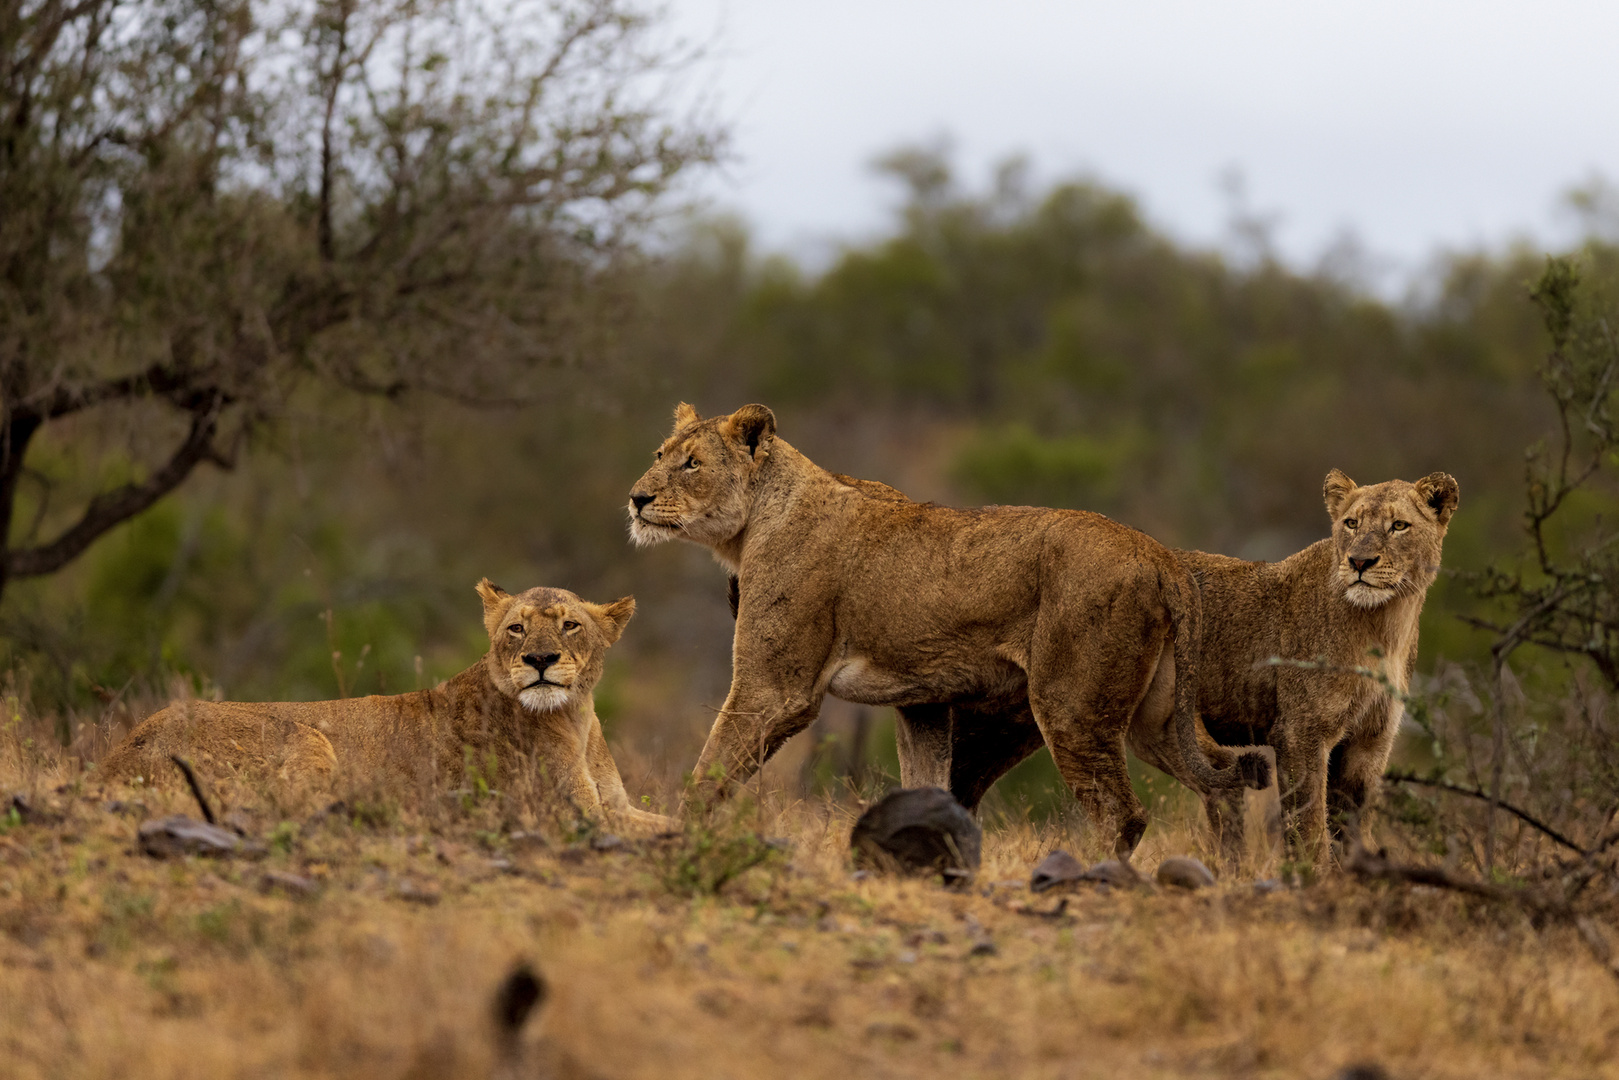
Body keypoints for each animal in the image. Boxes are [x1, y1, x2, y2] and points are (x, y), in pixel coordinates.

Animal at [97, 582, 673, 835]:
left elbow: (670, 817)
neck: (576, 716)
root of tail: (117, 757)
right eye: (517, 628)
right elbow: (669, 829)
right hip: (306, 736)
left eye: (570, 625)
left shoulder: (616, 805)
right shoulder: (576, 813)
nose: (539, 659)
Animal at [621, 401, 1262, 854]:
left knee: (1122, 815)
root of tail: (1163, 557)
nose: (636, 498)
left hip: (1070, 707)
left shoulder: (775, 690)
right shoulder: (921, 700)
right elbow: (926, 782)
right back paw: (1227, 878)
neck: (749, 527)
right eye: (659, 452)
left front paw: (678, 835)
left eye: (692, 463)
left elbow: (709, 772)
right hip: (1156, 718)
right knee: (1225, 780)